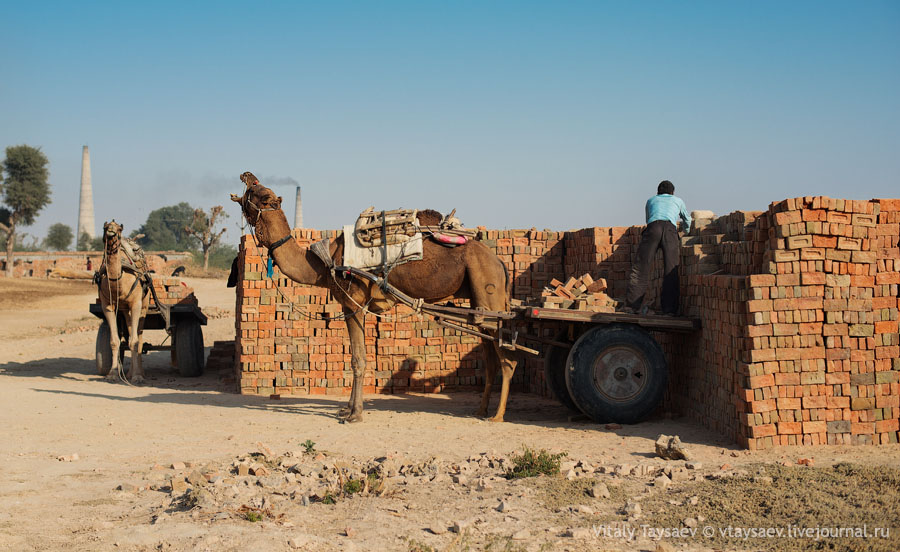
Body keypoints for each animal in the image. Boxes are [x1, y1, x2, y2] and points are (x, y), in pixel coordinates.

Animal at [96, 220, 149, 384]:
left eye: (119, 228)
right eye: (105, 226)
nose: (111, 230)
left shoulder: (137, 304)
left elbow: (135, 341)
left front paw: (138, 376)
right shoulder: (107, 305)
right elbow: (114, 341)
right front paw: (112, 374)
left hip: (144, 306)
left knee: (139, 337)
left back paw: (138, 373)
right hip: (125, 310)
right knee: (131, 331)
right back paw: (131, 373)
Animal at [230, 172, 520, 422]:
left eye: (263, 195)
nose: (246, 175)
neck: (325, 261)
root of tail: (499, 263)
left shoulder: (354, 303)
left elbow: (358, 359)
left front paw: (354, 414)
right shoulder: (351, 306)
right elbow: (355, 356)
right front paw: (346, 409)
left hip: (489, 291)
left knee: (507, 358)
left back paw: (497, 416)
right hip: (480, 306)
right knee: (491, 358)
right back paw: (481, 410)